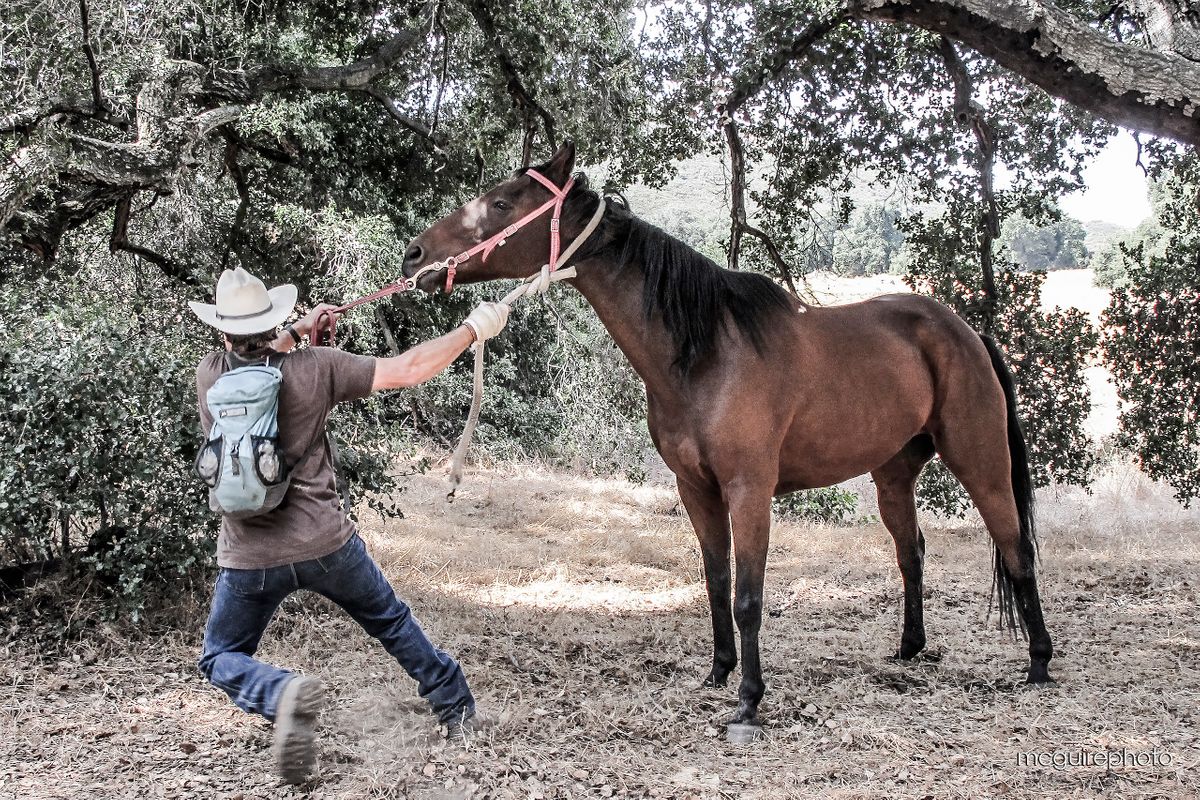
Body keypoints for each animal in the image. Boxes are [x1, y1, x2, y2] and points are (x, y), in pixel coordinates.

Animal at [401, 142, 1053, 733]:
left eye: (502, 202)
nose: (414, 255)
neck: (706, 352)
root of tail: (966, 331)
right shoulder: (696, 489)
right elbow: (715, 582)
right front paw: (717, 673)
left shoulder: (748, 490)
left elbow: (747, 596)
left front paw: (749, 702)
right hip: (892, 474)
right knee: (910, 551)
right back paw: (910, 648)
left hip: (980, 462)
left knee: (1016, 548)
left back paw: (1039, 664)